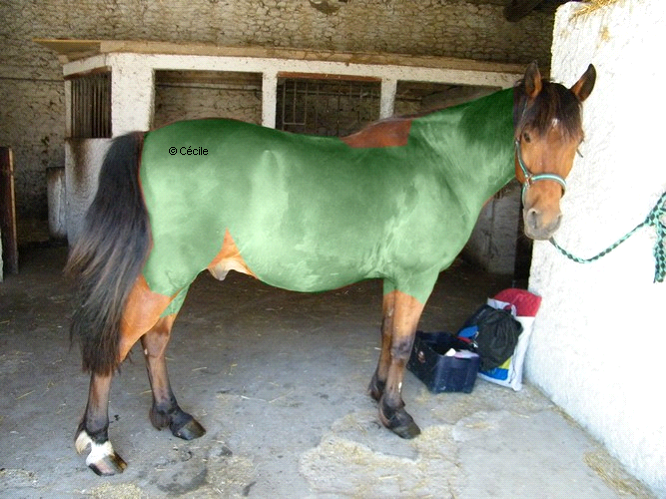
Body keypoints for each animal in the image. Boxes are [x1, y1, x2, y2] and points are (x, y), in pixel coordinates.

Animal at [66, 61, 595, 475]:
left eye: (578, 140)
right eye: (525, 134)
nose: (543, 220)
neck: (440, 164)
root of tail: (150, 137)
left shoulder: (395, 277)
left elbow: (387, 332)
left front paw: (379, 392)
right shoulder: (417, 276)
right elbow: (403, 344)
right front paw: (396, 414)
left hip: (175, 281)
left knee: (155, 343)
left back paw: (172, 417)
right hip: (164, 277)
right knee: (118, 343)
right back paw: (99, 447)